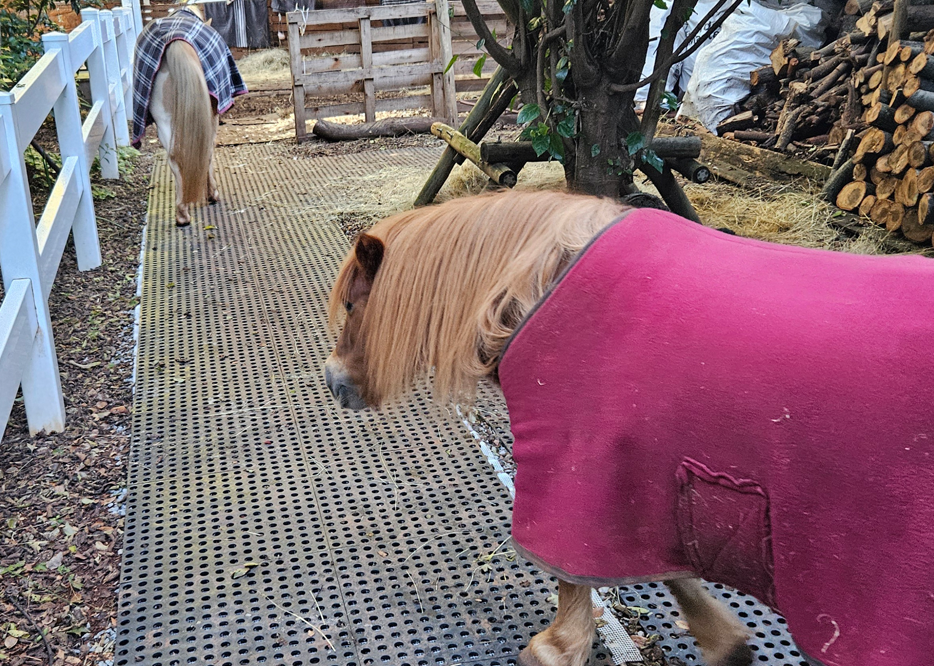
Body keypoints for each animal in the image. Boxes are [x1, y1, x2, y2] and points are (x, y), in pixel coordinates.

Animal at [131, 5, 247, 226]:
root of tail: (173, 38)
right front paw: (212, 194)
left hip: (164, 121)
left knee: (174, 157)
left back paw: (182, 214)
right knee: (206, 151)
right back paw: (207, 197)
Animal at [323, 190, 934, 666]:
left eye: (353, 306)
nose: (333, 382)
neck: (533, 291)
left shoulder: (574, 478)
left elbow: (574, 590)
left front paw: (556, 646)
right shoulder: (643, 485)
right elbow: (668, 568)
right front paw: (724, 641)